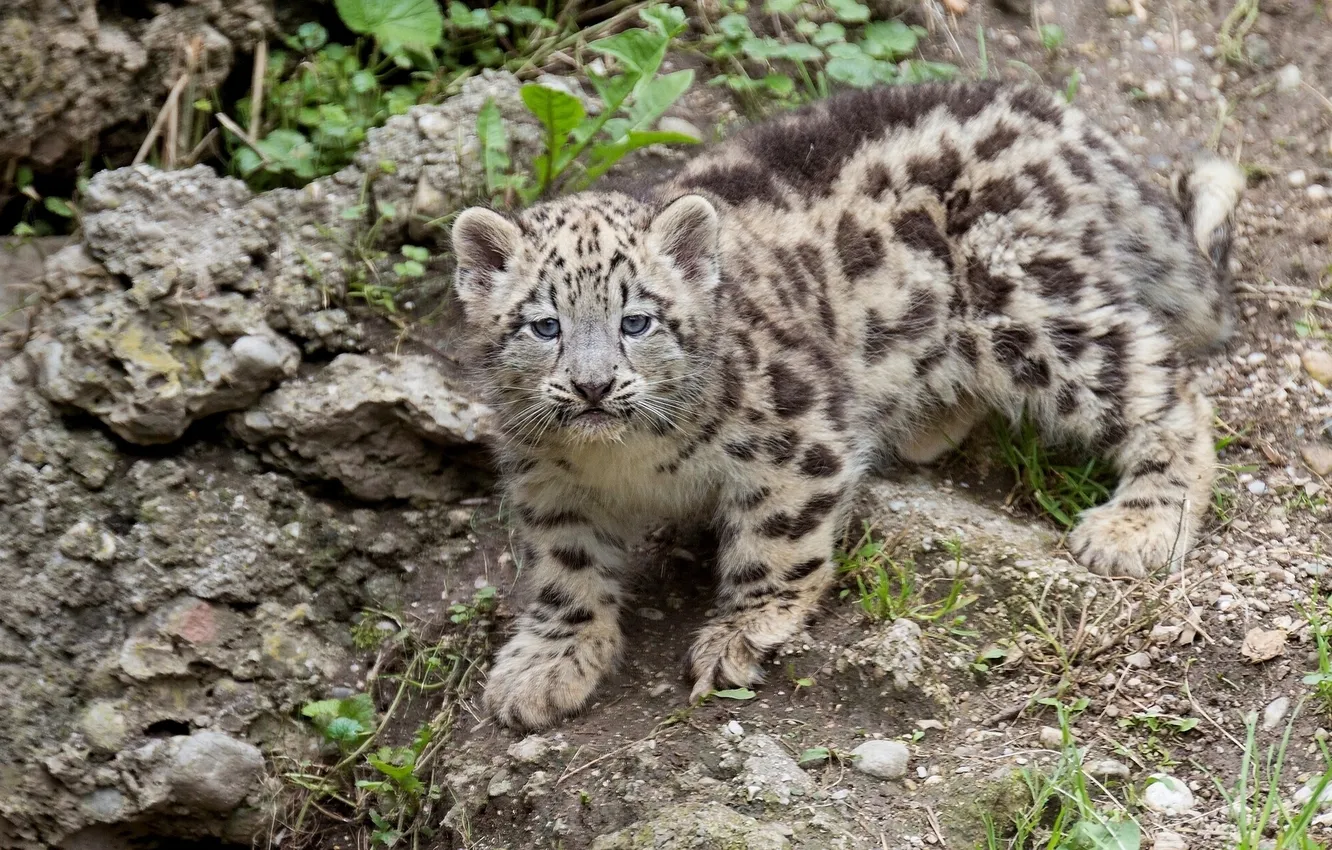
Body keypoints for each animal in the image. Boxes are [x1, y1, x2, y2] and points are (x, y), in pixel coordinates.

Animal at [446, 81, 1245, 730]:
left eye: (637, 321)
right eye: (543, 325)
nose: (592, 385)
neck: (624, 462)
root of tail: (1060, 117)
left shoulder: (796, 432)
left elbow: (777, 538)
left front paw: (740, 633)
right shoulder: (549, 482)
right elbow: (566, 568)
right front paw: (546, 665)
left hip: (1026, 298)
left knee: (1164, 386)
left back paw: (1138, 524)